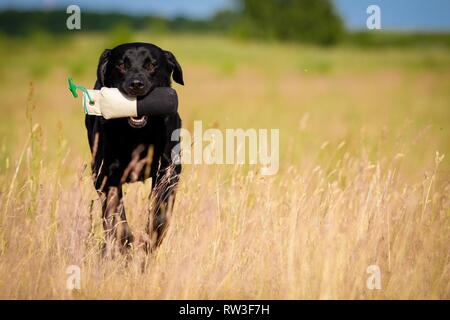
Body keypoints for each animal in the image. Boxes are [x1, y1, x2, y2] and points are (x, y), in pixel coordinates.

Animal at [85, 42, 184, 255]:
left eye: (152, 65)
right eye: (121, 64)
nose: (136, 84)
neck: (137, 134)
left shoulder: (168, 171)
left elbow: (160, 214)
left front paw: (149, 241)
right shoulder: (105, 174)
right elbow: (116, 214)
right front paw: (126, 244)